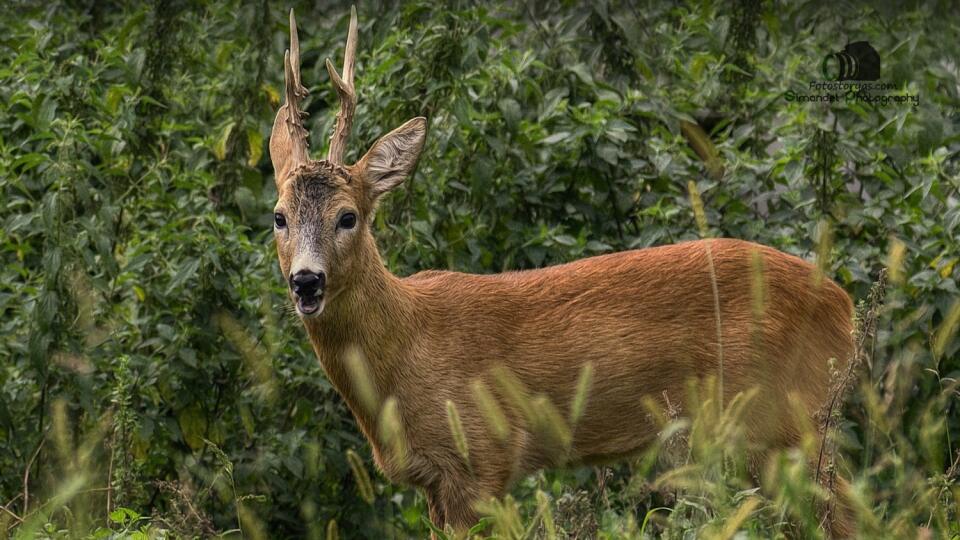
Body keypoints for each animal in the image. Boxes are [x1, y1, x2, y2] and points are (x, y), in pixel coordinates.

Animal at [268, 8, 856, 536]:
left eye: (348, 216)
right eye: (278, 216)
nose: (307, 281)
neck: (406, 346)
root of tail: (844, 305)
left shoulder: (482, 459)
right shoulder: (434, 483)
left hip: (785, 418)